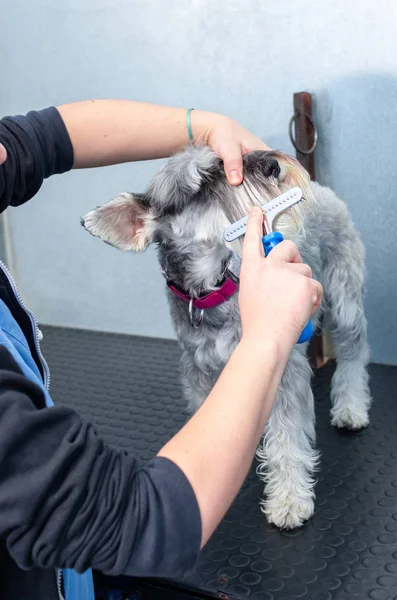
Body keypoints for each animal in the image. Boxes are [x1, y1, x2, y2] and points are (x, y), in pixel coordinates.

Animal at [81, 146, 372, 528]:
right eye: (202, 182)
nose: (273, 164)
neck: (215, 292)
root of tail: (323, 189)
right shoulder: (200, 373)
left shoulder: (286, 370)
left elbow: (288, 436)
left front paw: (289, 499)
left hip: (345, 296)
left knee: (354, 350)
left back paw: (351, 407)